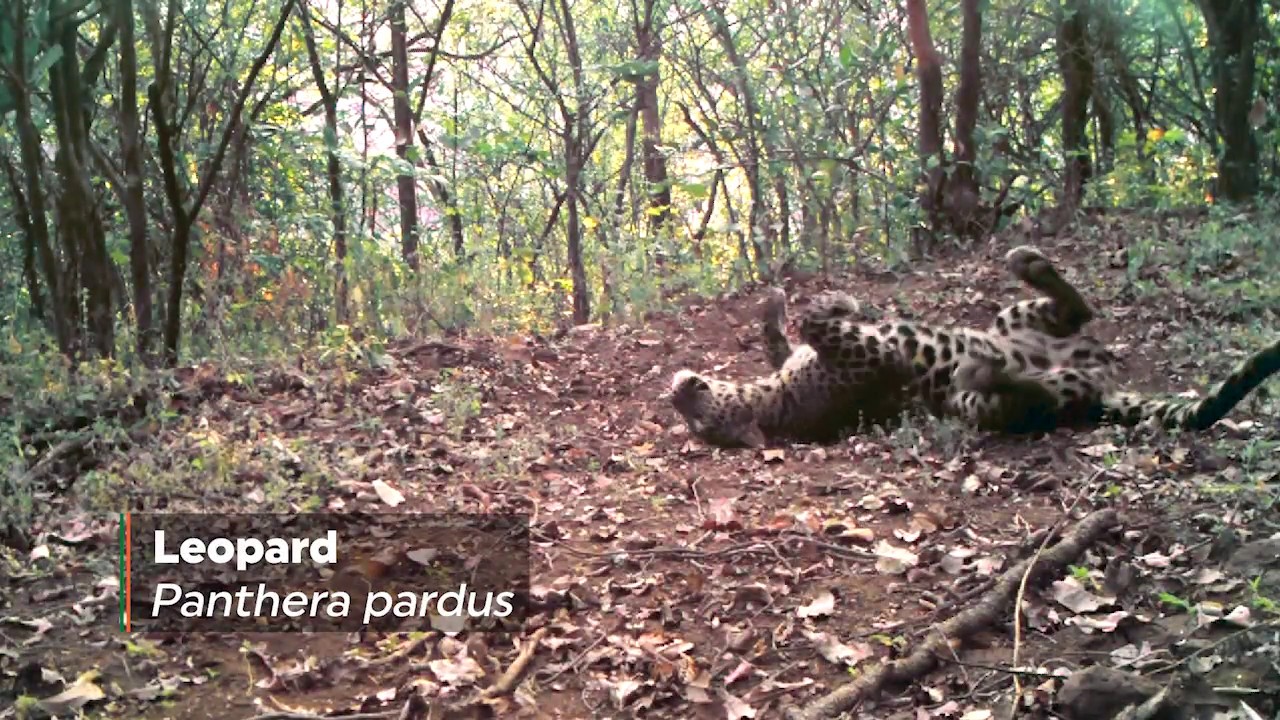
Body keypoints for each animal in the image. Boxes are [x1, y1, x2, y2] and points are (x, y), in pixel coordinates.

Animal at [669, 246, 1280, 448]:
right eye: (705, 425)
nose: (675, 394)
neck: (772, 400)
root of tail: (1104, 386)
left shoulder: (797, 358)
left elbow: (784, 333)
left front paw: (780, 300)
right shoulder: (869, 359)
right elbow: (817, 320)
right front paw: (836, 300)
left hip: (1015, 318)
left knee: (1075, 312)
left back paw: (1028, 267)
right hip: (979, 404)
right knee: (1031, 399)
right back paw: (988, 367)